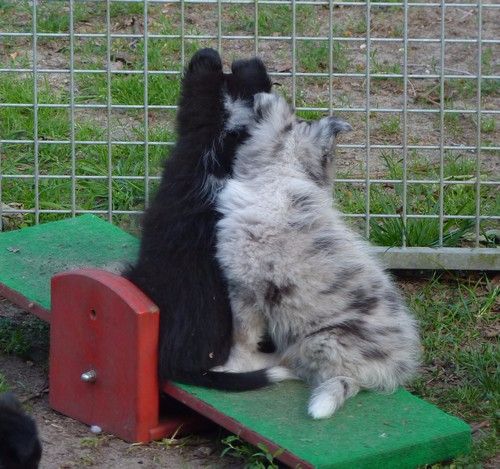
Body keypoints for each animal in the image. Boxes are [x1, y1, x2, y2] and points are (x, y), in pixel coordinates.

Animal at [216, 93, 422, 418]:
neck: (280, 172)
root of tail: (390, 371)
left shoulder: (245, 288)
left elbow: (242, 338)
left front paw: (230, 367)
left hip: (320, 339)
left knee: (303, 367)